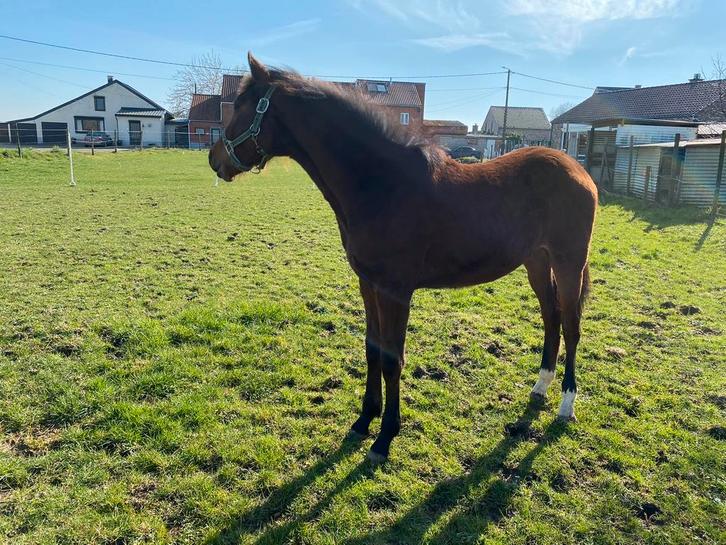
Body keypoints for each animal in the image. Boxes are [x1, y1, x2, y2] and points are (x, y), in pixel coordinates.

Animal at [209, 53, 598, 462]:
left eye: (242, 107)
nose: (214, 158)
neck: (381, 184)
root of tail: (579, 171)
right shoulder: (368, 284)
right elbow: (373, 350)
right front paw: (364, 419)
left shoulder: (396, 291)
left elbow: (393, 359)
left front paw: (385, 436)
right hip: (537, 261)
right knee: (551, 317)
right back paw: (540, 386)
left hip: (569, 264)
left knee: (571, 326)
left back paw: (566, 405)